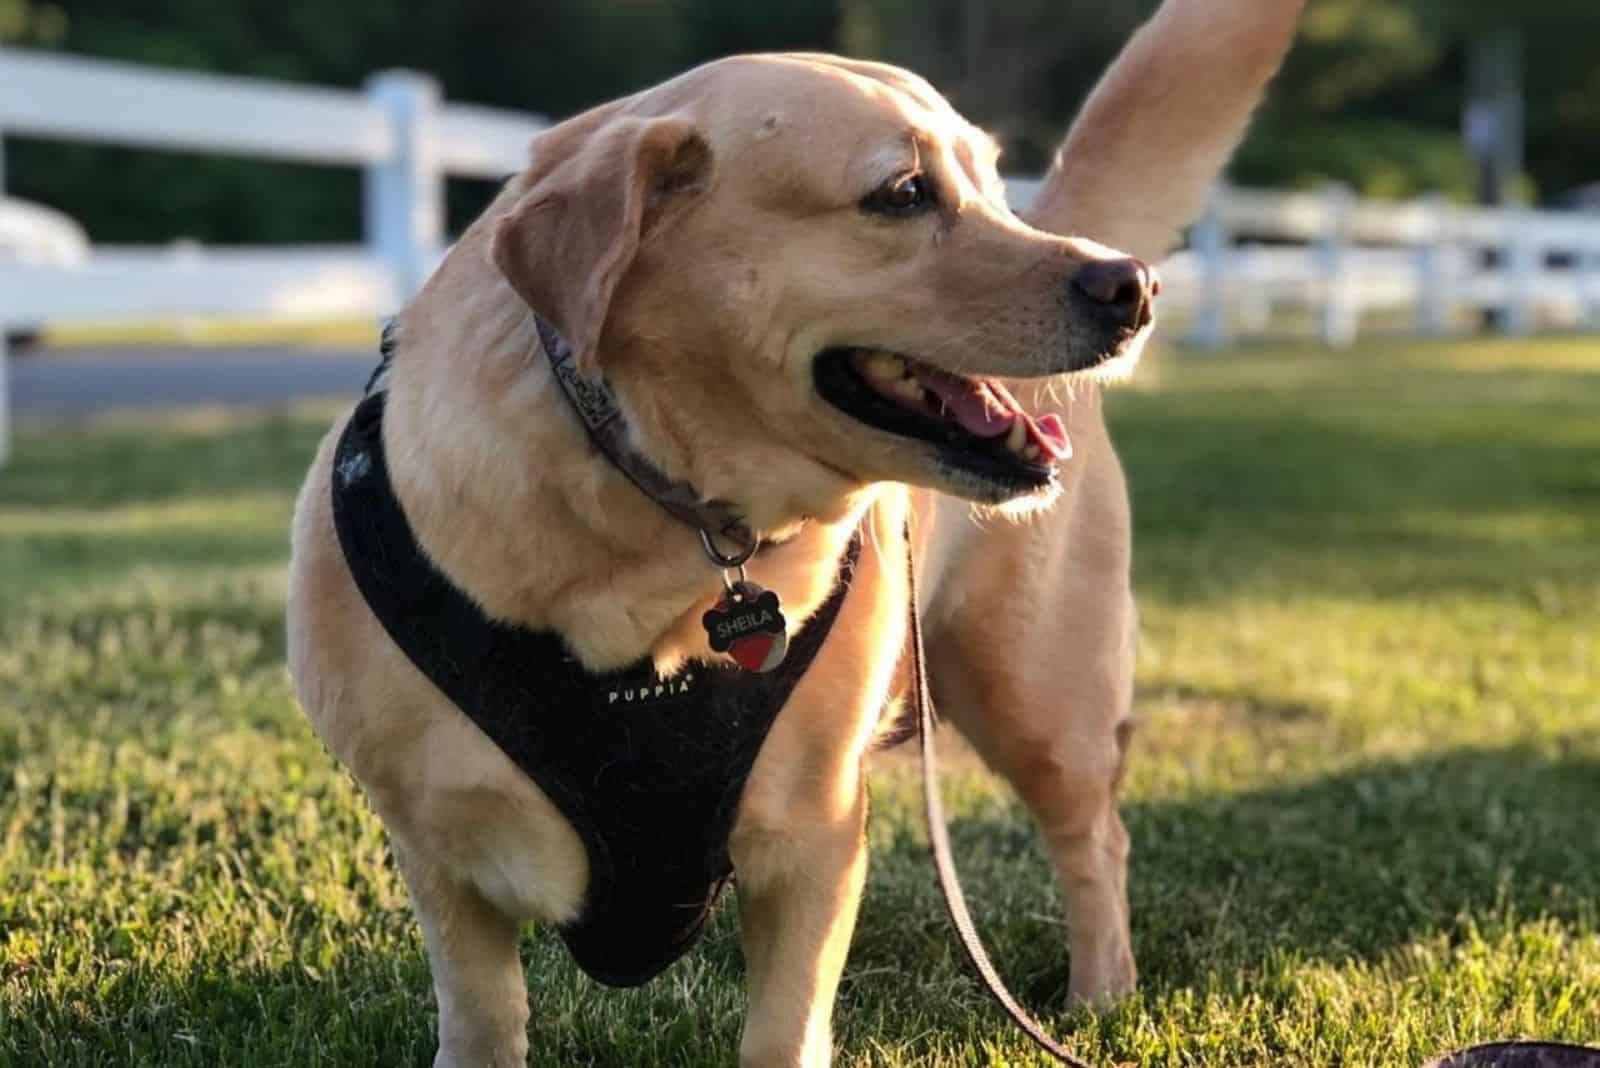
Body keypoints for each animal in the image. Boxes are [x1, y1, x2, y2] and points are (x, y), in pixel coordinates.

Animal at [291, 4, 1299, 1061]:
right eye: (903, 193)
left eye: (991, 185)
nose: (1131, 287)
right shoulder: (440, 856)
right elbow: (485, 1018)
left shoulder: (815, 835)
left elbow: (784, 1030)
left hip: (1036, 691)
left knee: (1095, 837)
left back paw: (1100, 993)